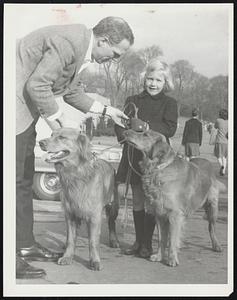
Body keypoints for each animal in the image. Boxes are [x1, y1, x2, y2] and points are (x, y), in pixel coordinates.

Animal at [40, 127, 120, 270]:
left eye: (62, 137)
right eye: (51, 134)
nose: (40, 142)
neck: (75, 175)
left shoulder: (94, 216)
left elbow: (93, 241)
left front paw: (95, 261)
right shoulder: (70, 214)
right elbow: (71, 239)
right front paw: (67, 257)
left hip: (113, 205)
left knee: (112, 223)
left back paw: (113, 240)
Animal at [122, 129, 224, 268]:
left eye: (145, 134)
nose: (126, 131)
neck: (158, 168)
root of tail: (208, 162)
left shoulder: (174, 214)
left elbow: (173, 239)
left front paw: (172, 259)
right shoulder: (159, 214)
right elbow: (162, 238)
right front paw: (159, 256)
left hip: (212, 206)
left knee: (211, 228)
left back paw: (216, 245)